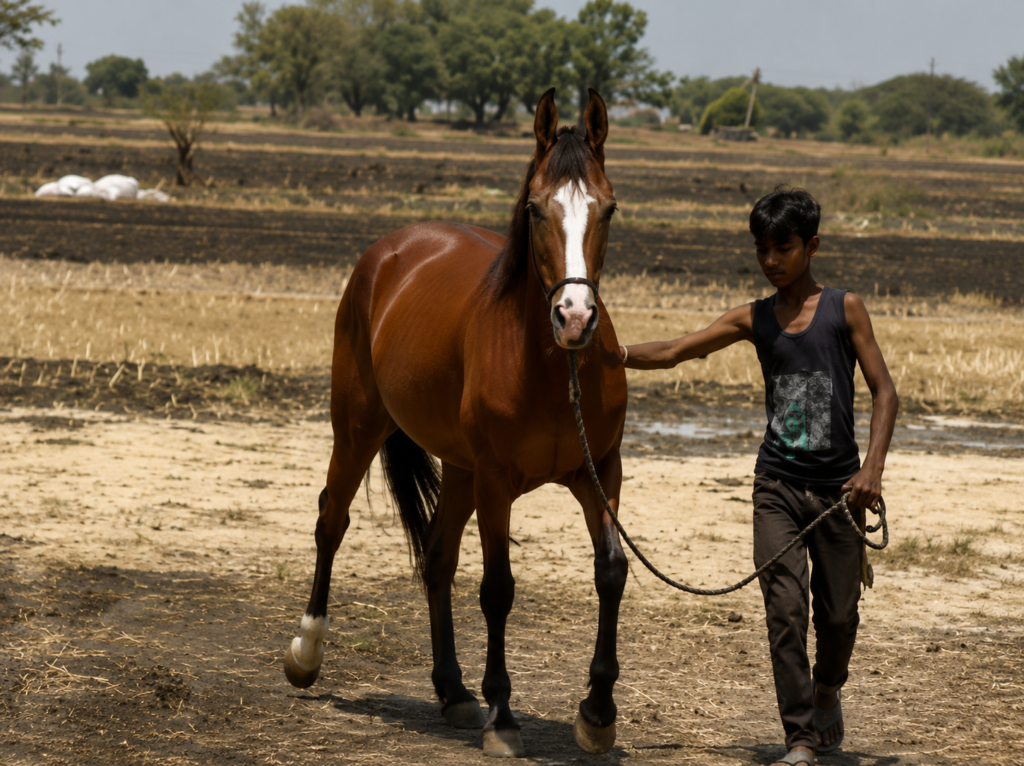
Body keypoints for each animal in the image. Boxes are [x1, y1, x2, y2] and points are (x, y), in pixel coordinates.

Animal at [283, 88, 629, 758]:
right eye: (535, 209)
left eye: (608, 208)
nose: (574, 317)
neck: (552, 367)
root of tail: (392, 249)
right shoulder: (496, 482)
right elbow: (498, 589)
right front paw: (505, 718)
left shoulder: (599, 472)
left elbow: (611, 572)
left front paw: (597, 712)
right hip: (358, 427)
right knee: (331, 521)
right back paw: (307, 654)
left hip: (460, 467)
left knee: (438, 557)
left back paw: (454, 691)